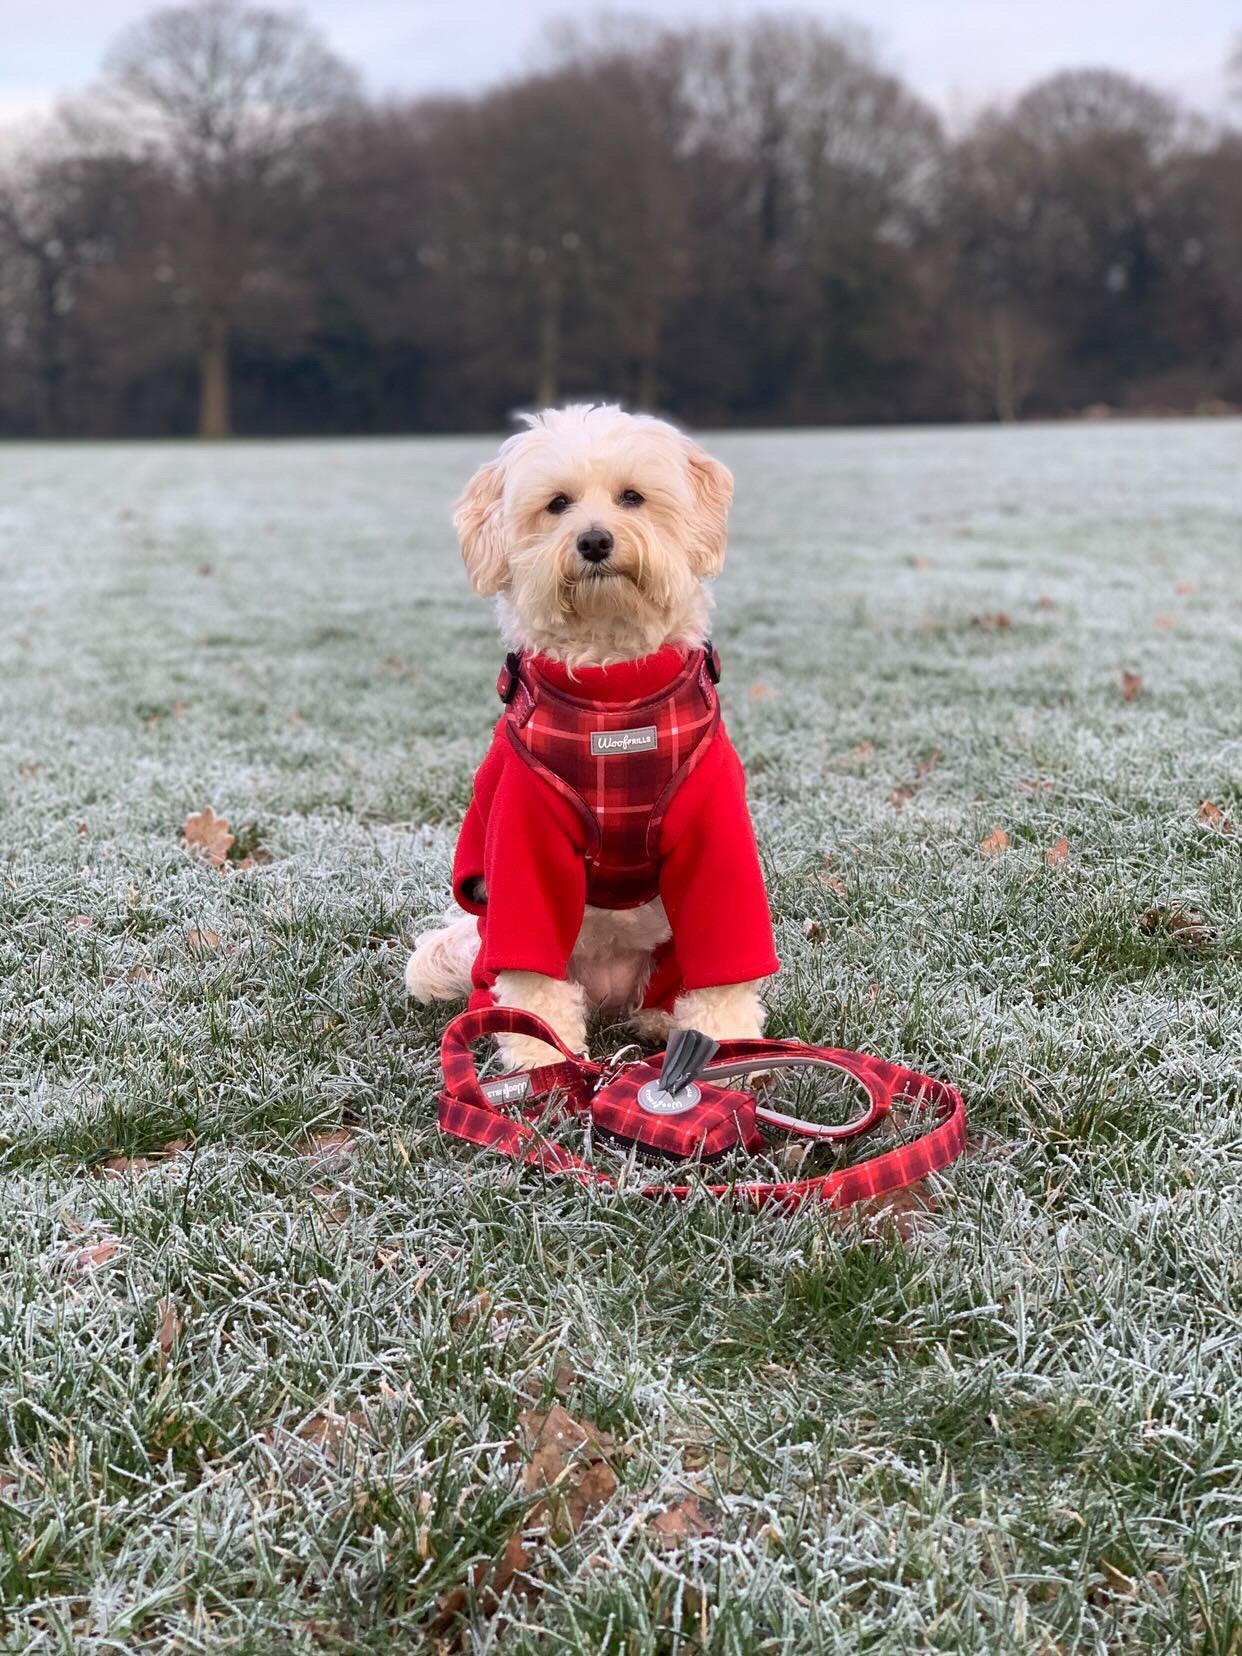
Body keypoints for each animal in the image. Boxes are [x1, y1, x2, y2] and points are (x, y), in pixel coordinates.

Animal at [409, 407, 778, 1066]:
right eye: (558, 504)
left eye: (633, 497)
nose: (595, 541)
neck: (615, 698)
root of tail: (609, 995)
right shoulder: (525, 841)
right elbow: (532, 973)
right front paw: (542, 1058)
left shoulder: (716, 832)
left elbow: (725, 959)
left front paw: (726, 1046)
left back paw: (662, 1019)